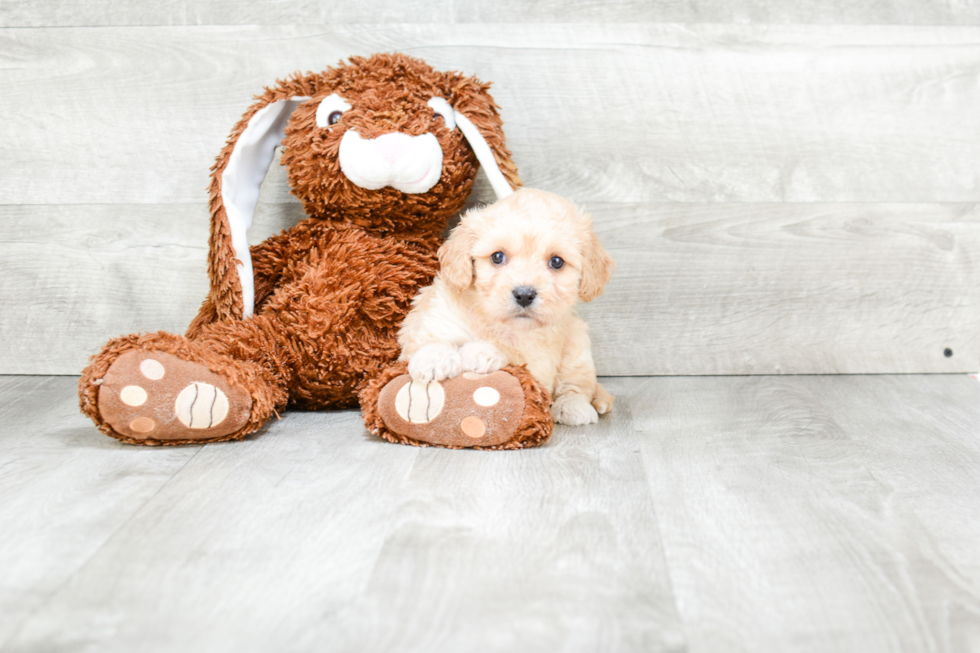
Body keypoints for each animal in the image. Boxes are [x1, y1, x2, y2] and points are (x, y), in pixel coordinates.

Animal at [396, 186, 612, 426]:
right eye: (497, 257)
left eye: (557, 262)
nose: (524, 295)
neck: (492, 318)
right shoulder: (438, 314)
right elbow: (430, 338)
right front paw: (432, 358)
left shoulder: (540, 358)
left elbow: (513, 352)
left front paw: (481, 351)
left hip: (577, 341)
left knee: (578, 385)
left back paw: (573, 407)